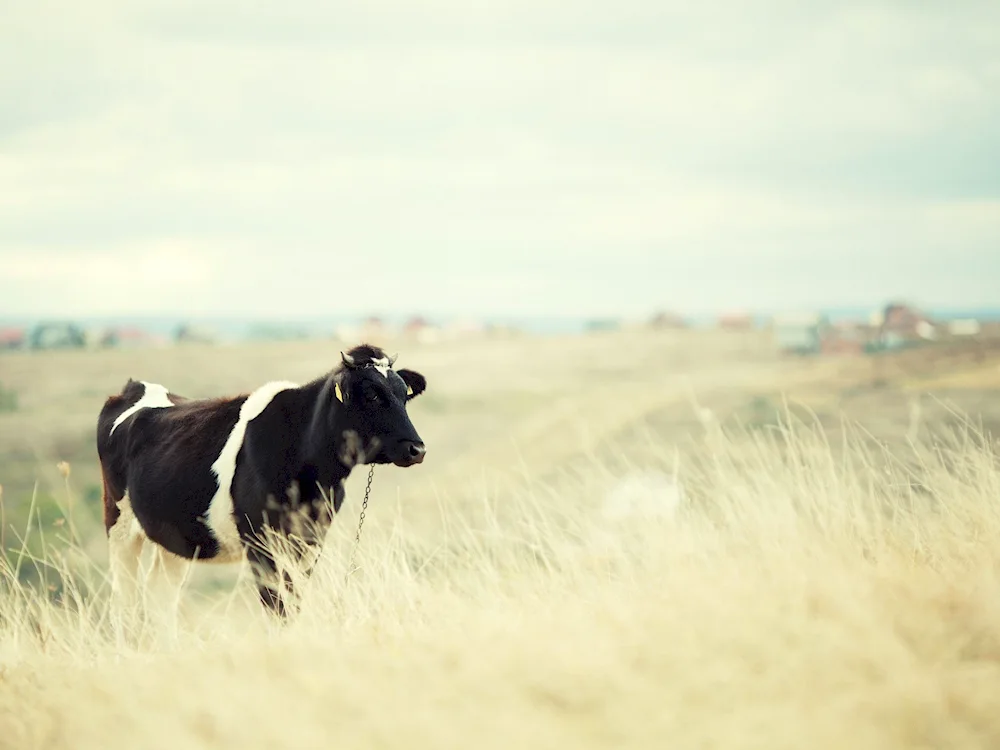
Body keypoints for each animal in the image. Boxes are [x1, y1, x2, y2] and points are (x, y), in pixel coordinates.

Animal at [97, 344, 430, 624]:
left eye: (403, 395)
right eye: (372, 395)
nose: (417, 449)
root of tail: (136, 388)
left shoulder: (311, 538)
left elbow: (293, 600)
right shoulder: (259, 540)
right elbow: (276, 605)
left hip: (175, 538)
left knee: (160, 597)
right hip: (120, 527)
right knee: (123, 602)